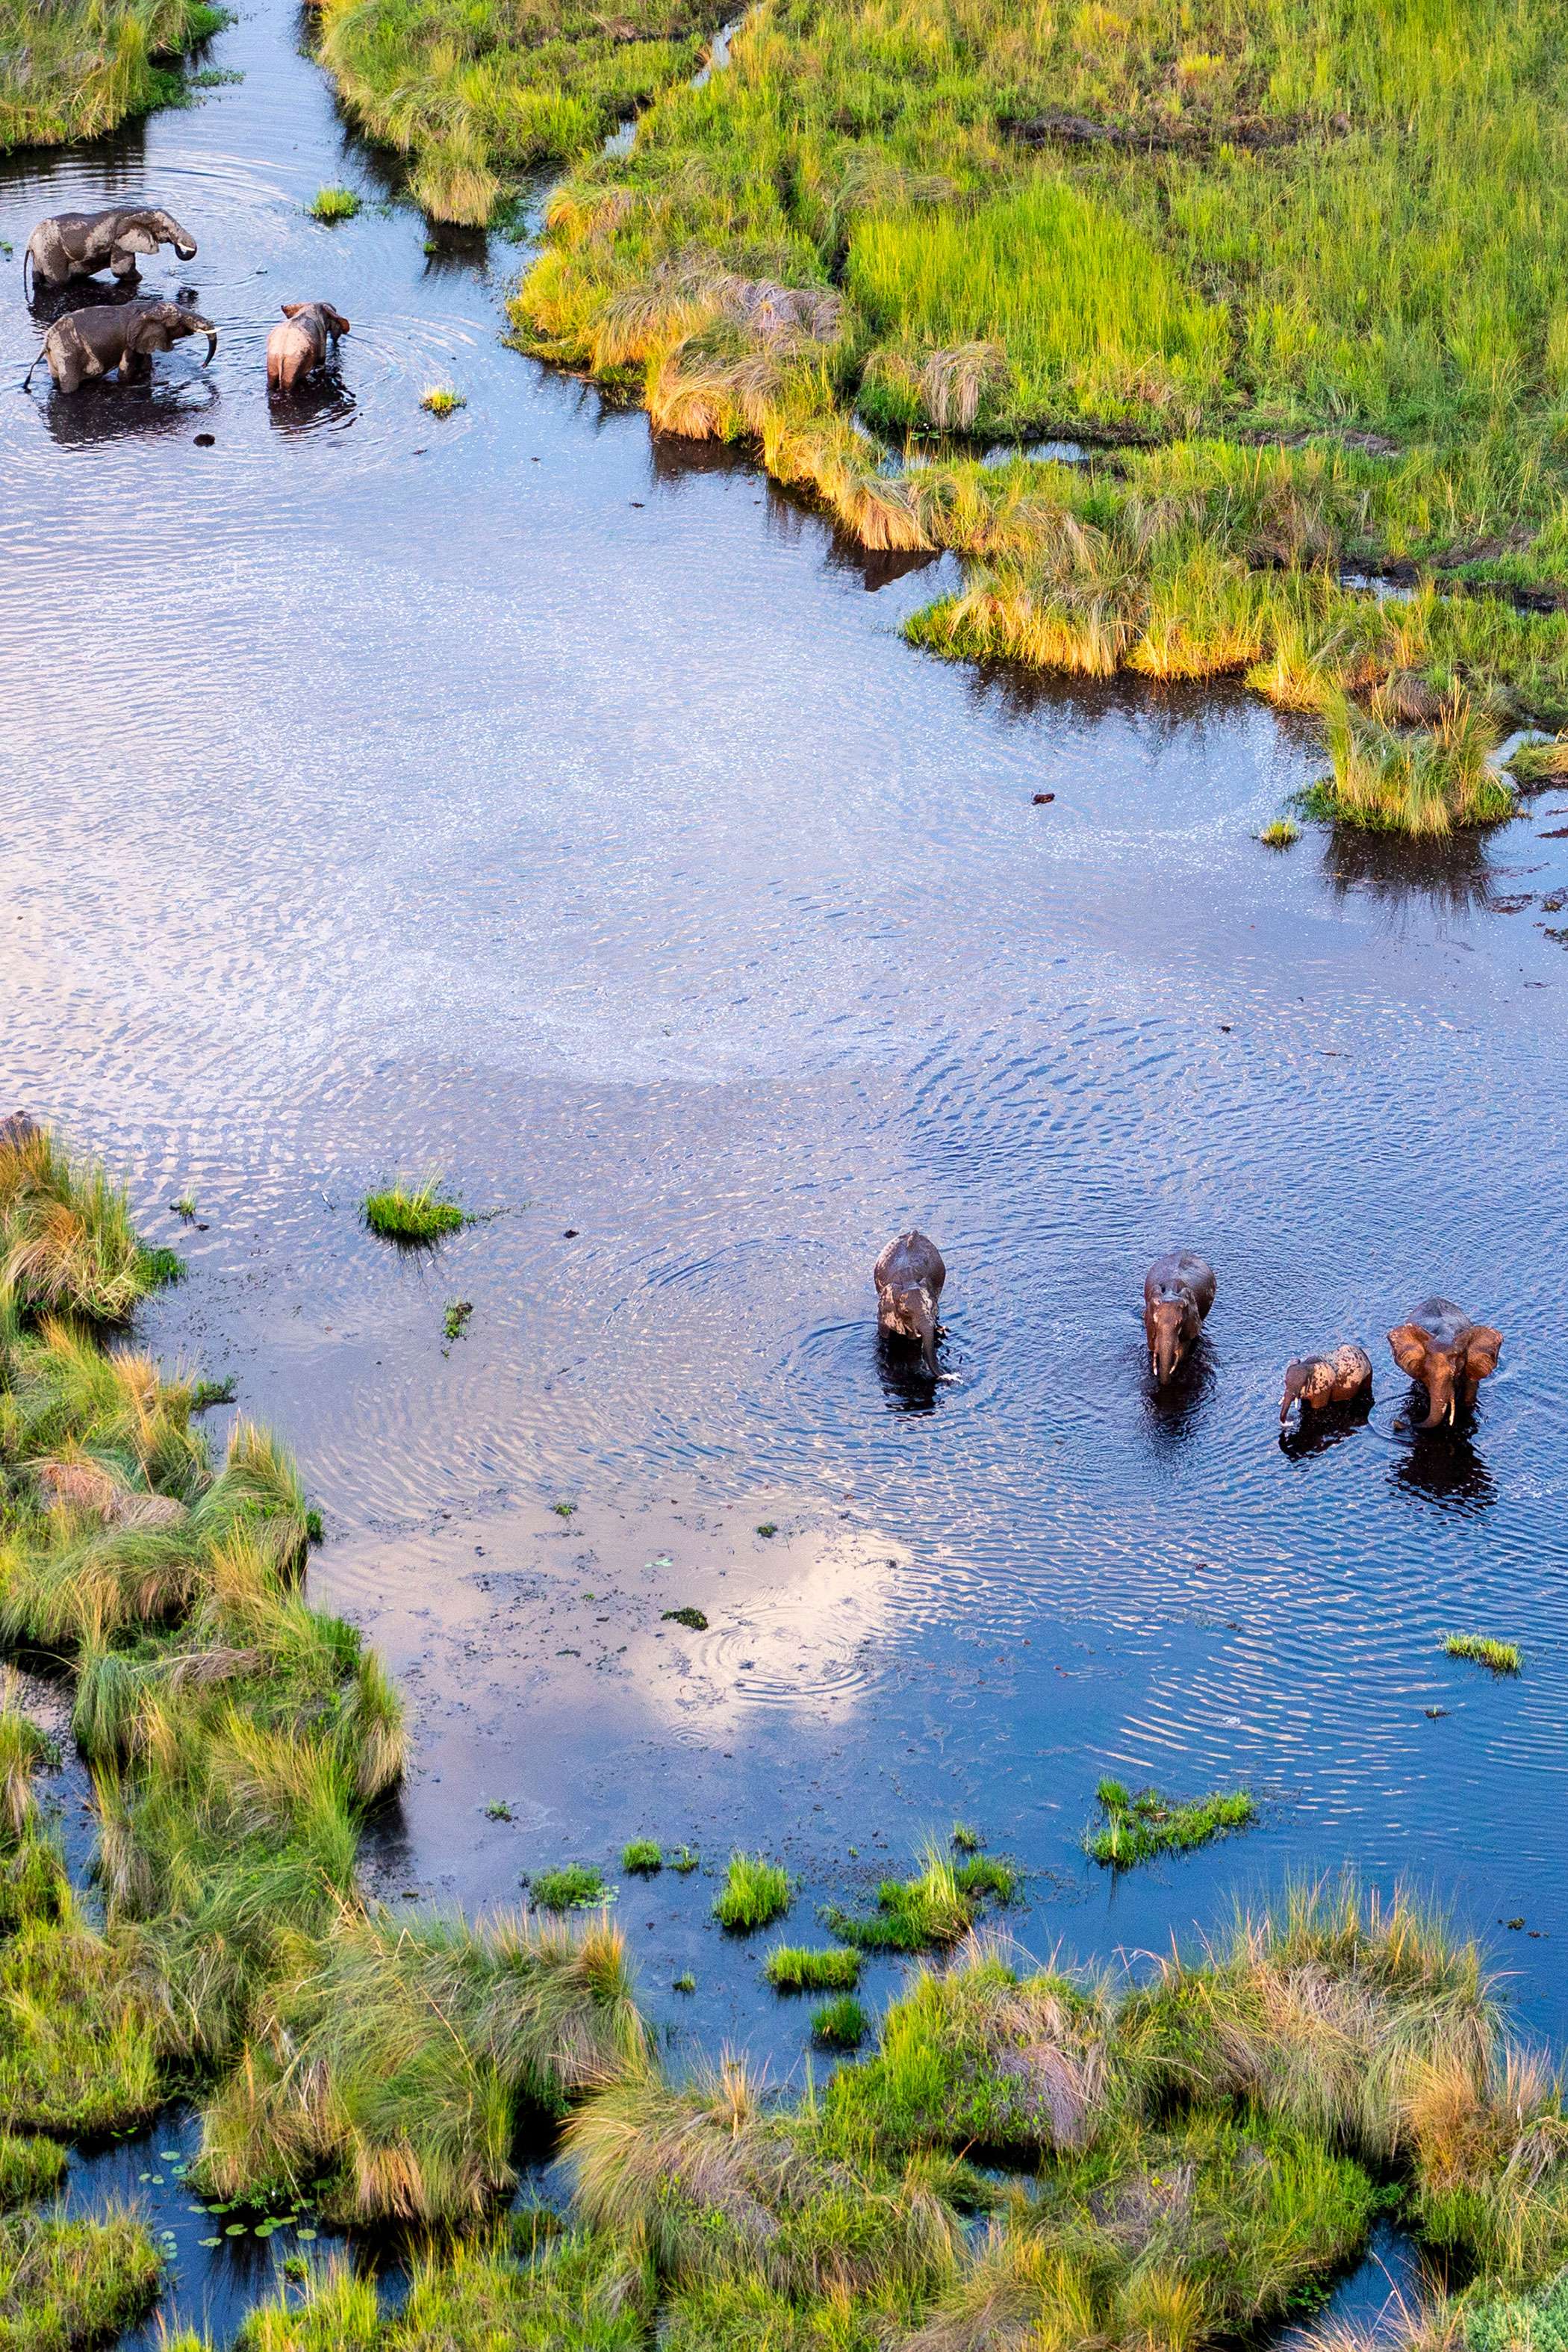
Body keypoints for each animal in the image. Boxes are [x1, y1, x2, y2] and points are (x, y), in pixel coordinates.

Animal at [25, 205, 197, 293]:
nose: (177, 246)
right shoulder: (118, 242)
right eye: (165, 228)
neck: (137, 211)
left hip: (40, 256)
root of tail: (30, 240)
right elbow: (121, 270)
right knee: (60, 281)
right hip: (51, 253)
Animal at [25, 300, 217, 394]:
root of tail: (47, 342)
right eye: (178, 321)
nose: (203, 366)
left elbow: (146, 365)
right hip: (67, 353)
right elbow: (124, 374)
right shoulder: (129, 343)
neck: (148, 308)